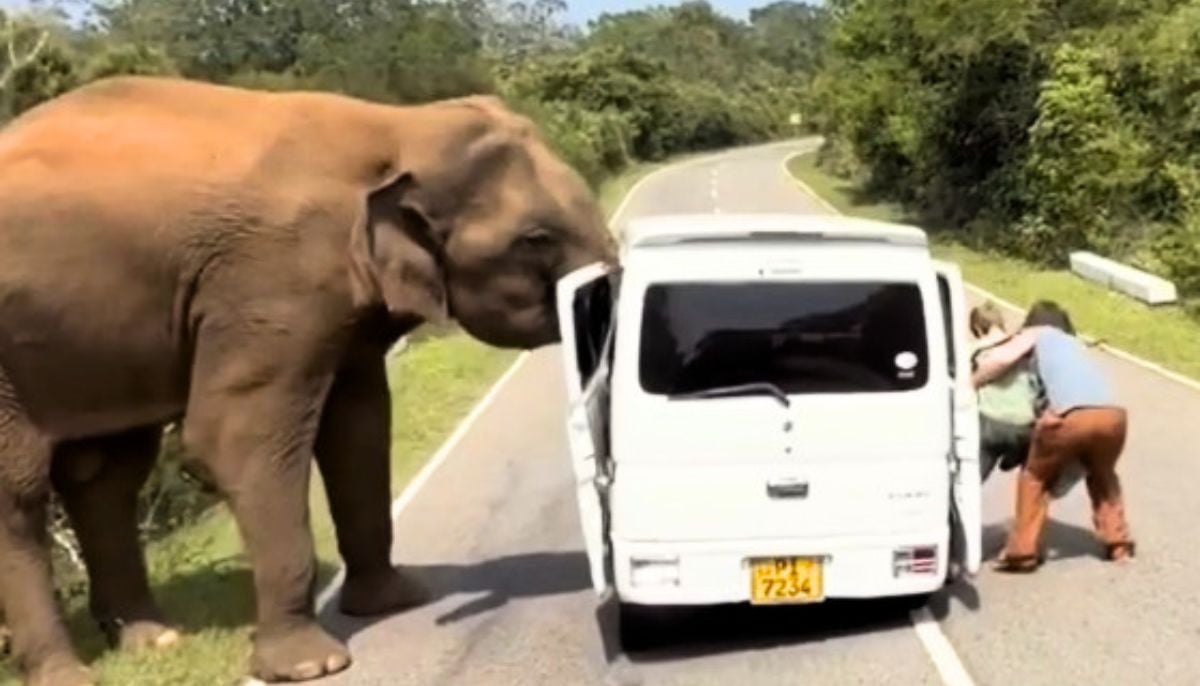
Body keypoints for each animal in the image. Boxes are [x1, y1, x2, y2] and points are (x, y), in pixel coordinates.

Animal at [0, 76, 616, 686]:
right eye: (536, 238)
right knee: (23, 490)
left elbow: (358, 427)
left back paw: (155, 642)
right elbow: (235, 438)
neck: (397, 126)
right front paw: (313, 666)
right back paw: (68, 675)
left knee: (107, 473)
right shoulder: (274, 281)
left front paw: (396, 601)